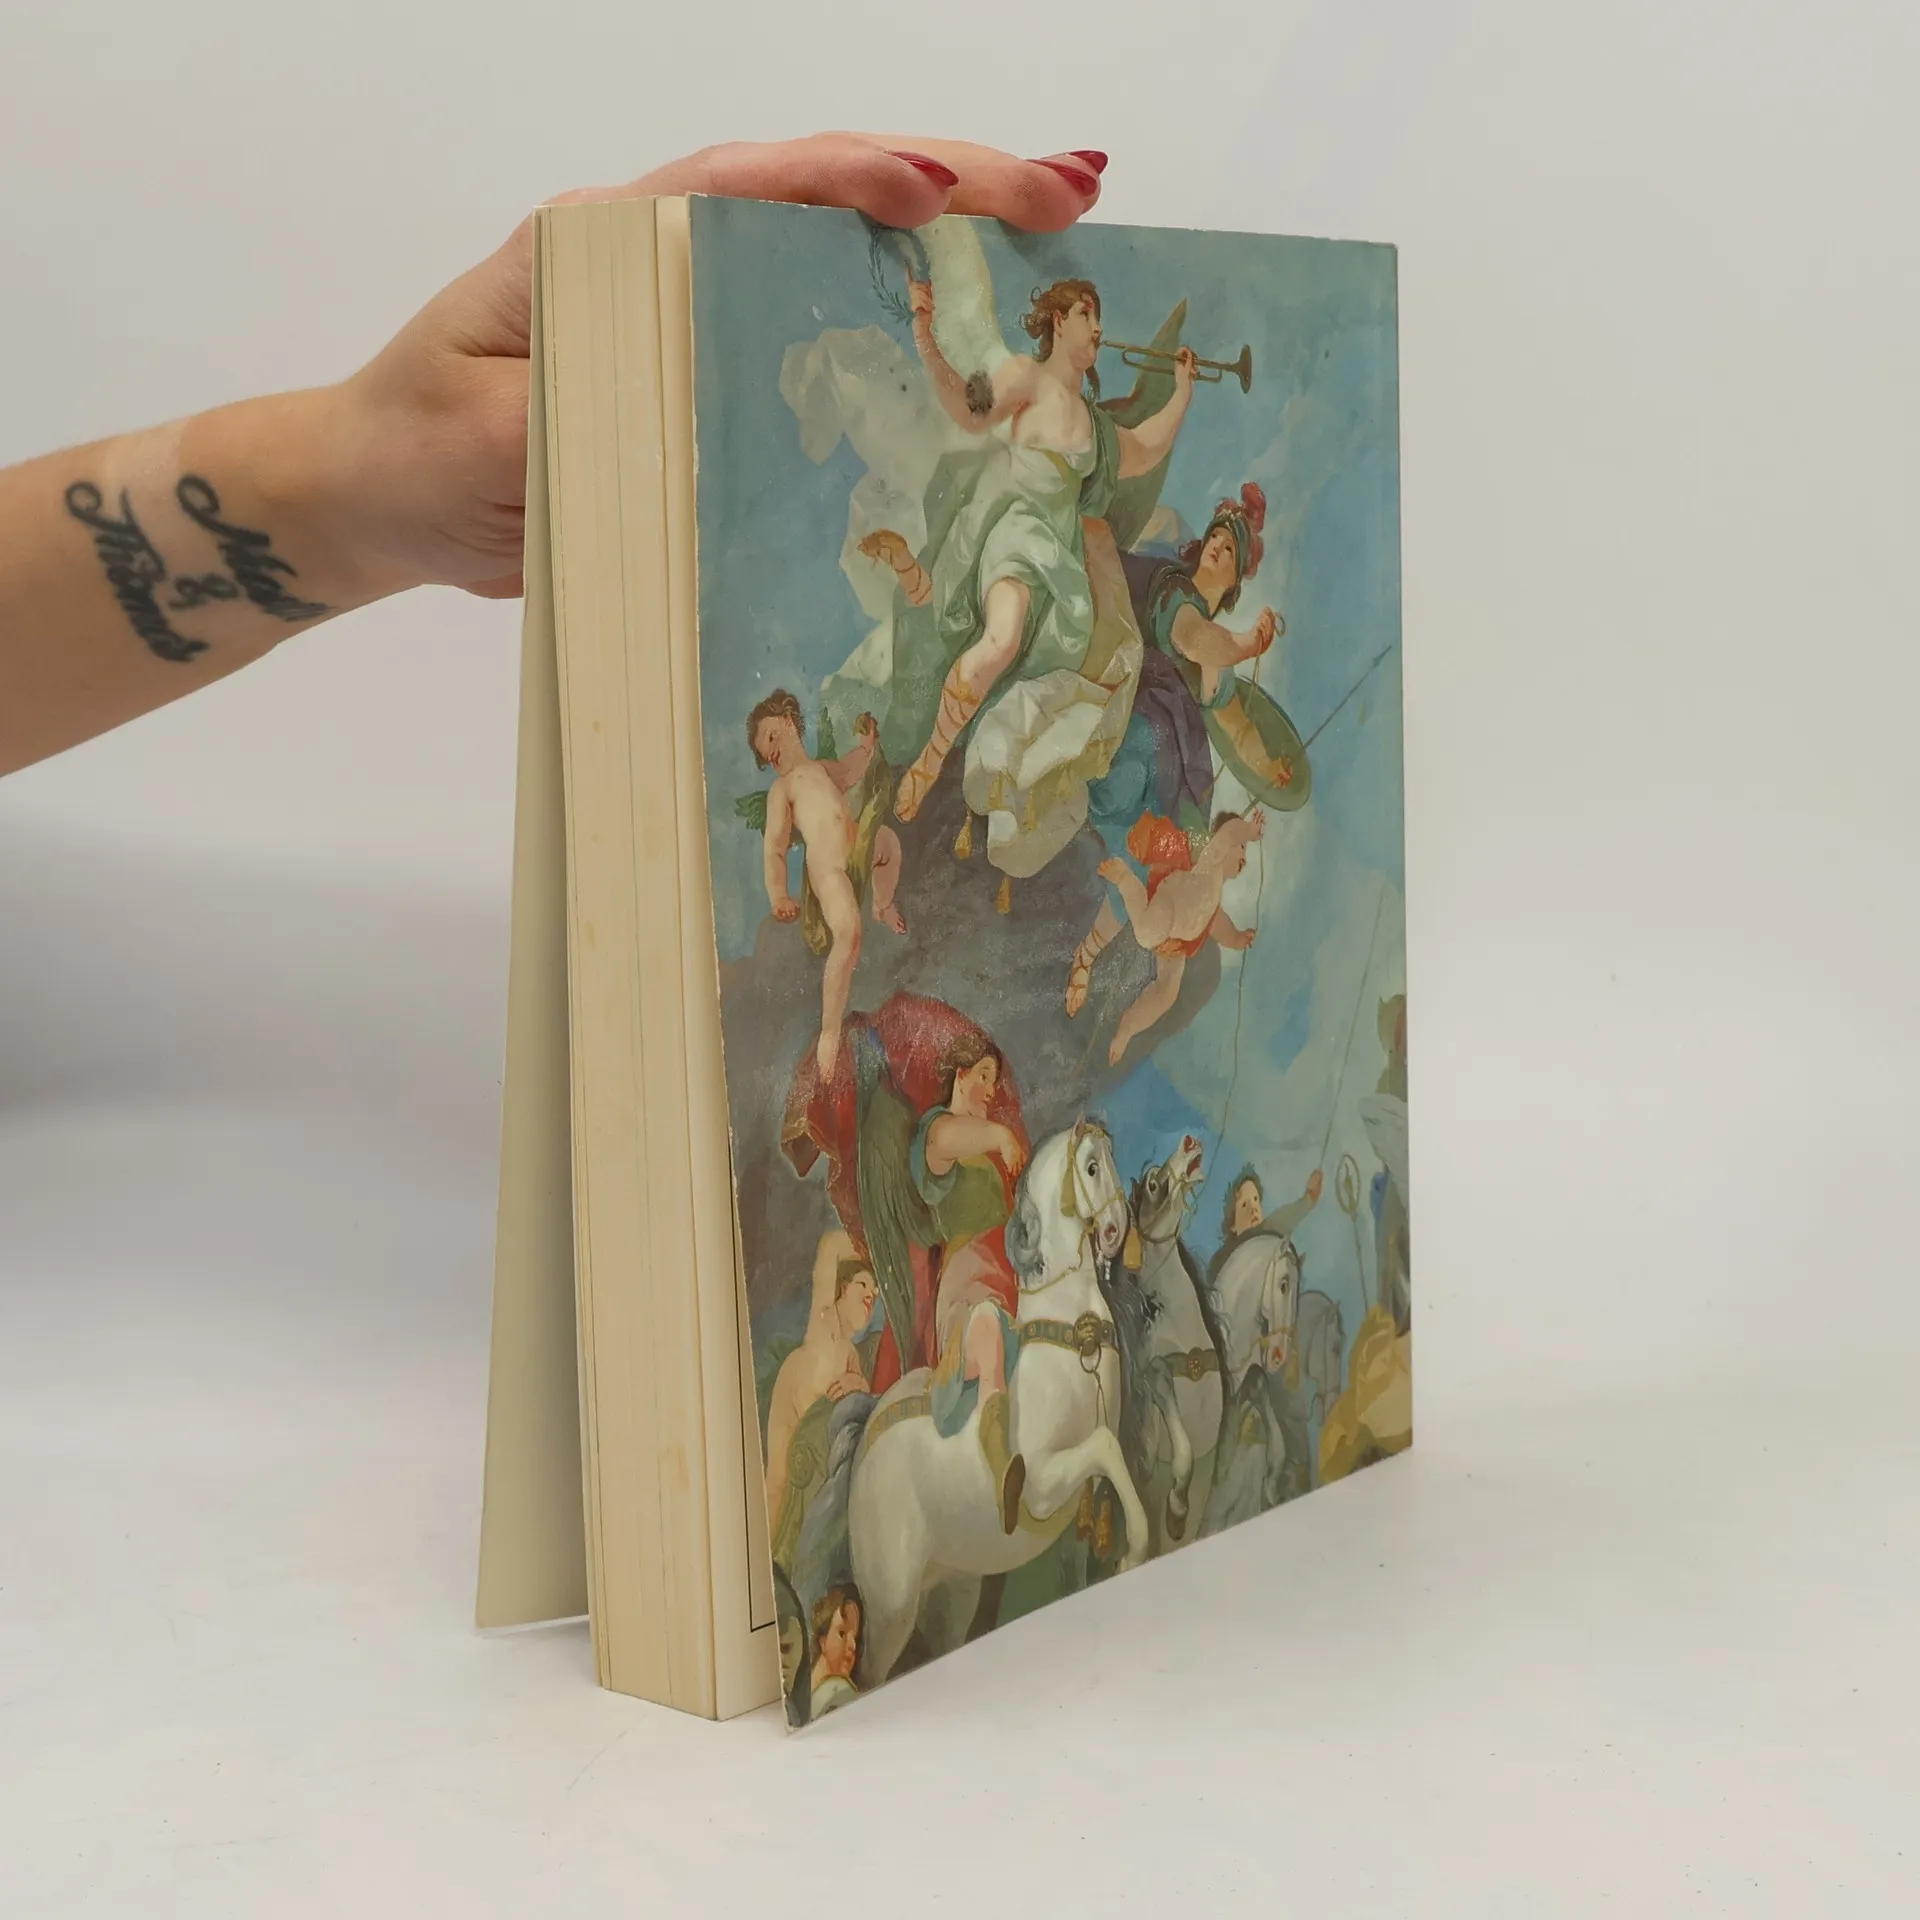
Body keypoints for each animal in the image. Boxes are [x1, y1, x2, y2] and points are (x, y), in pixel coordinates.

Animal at [846, 1121, 1145, 1687]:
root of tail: (868, 1441)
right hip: (892, 1609)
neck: (1070, 1336)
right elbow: (1105, 1446)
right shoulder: (1045, 1484)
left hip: (951, 1588)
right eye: (1092, 1166)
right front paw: (1136, 1547)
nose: (1117, 1229)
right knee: (869, 1673)